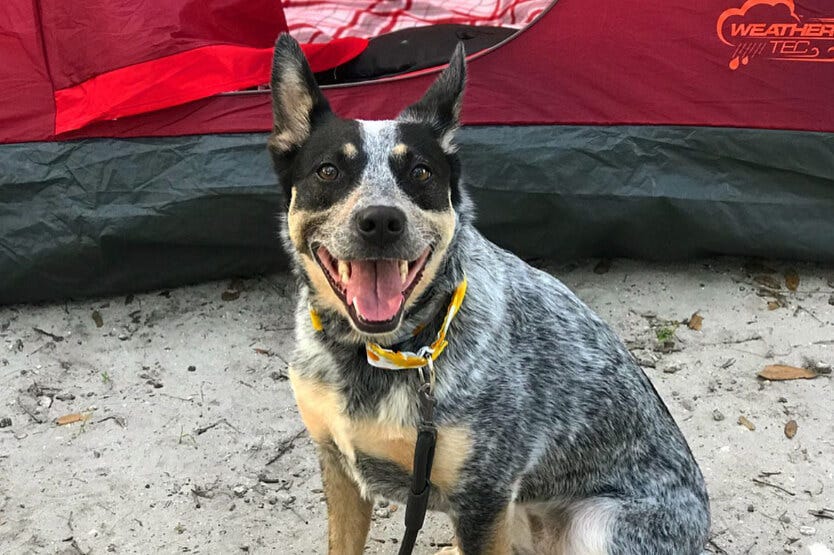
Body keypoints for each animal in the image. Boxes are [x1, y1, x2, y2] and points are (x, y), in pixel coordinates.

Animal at [266, 33, 708, 555]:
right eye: (329, 170)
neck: (383, 352)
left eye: (421, 173)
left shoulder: (483, 494)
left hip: (595, 525)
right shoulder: (339, 464)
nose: (380, 220)